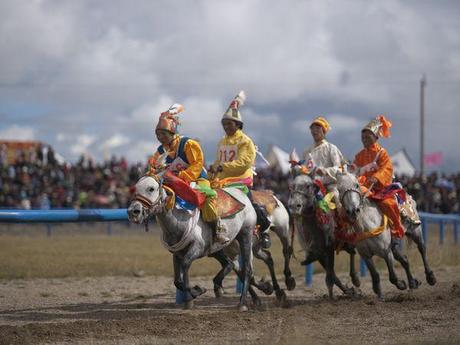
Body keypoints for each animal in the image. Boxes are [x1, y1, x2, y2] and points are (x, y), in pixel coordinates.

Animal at [126, 173, 258, 310]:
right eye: (135, 188)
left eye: (151, 188)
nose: (133, 212)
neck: (179, 221)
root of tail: (243, 195)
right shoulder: (177, 253)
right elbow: (177, 280)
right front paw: (196, 291)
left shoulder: (198, 247)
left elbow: (185, 264)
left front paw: (192, 296)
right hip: (216, 249)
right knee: (230, 264)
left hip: (245, 234)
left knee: (247, 269)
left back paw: (242, 303)